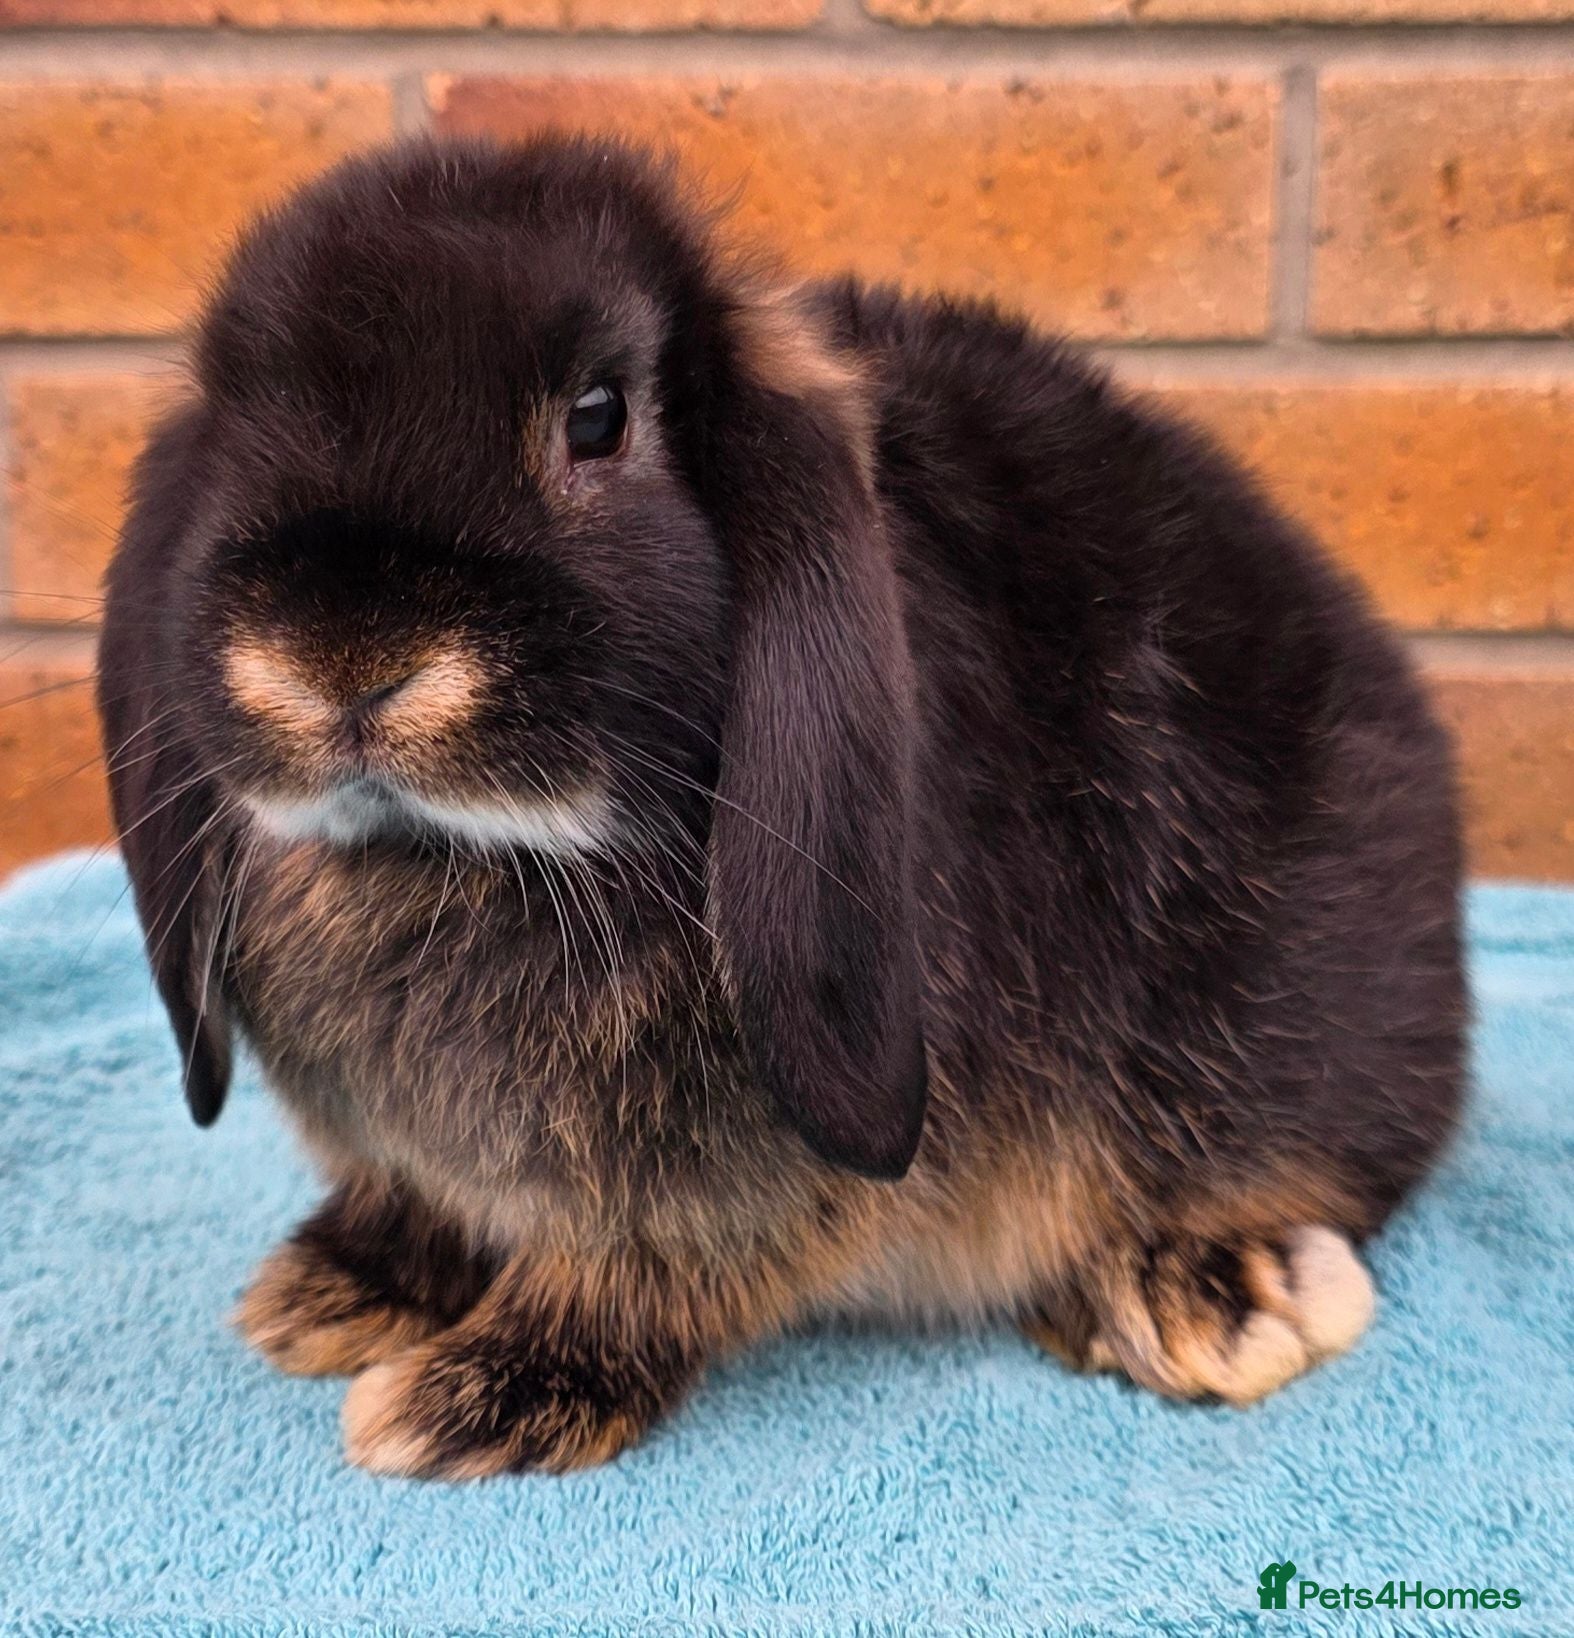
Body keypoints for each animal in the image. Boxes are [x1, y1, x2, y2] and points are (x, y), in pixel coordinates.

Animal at [97, 134, 1465, 1479]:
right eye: (234, 411)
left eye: (598, 418)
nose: (339, 662)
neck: (464, 853)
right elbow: (417, 1203)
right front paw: (334, 1292)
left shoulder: (755, 1167)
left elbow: (648, 1266)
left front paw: (474, 1399)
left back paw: (1207, 1296)